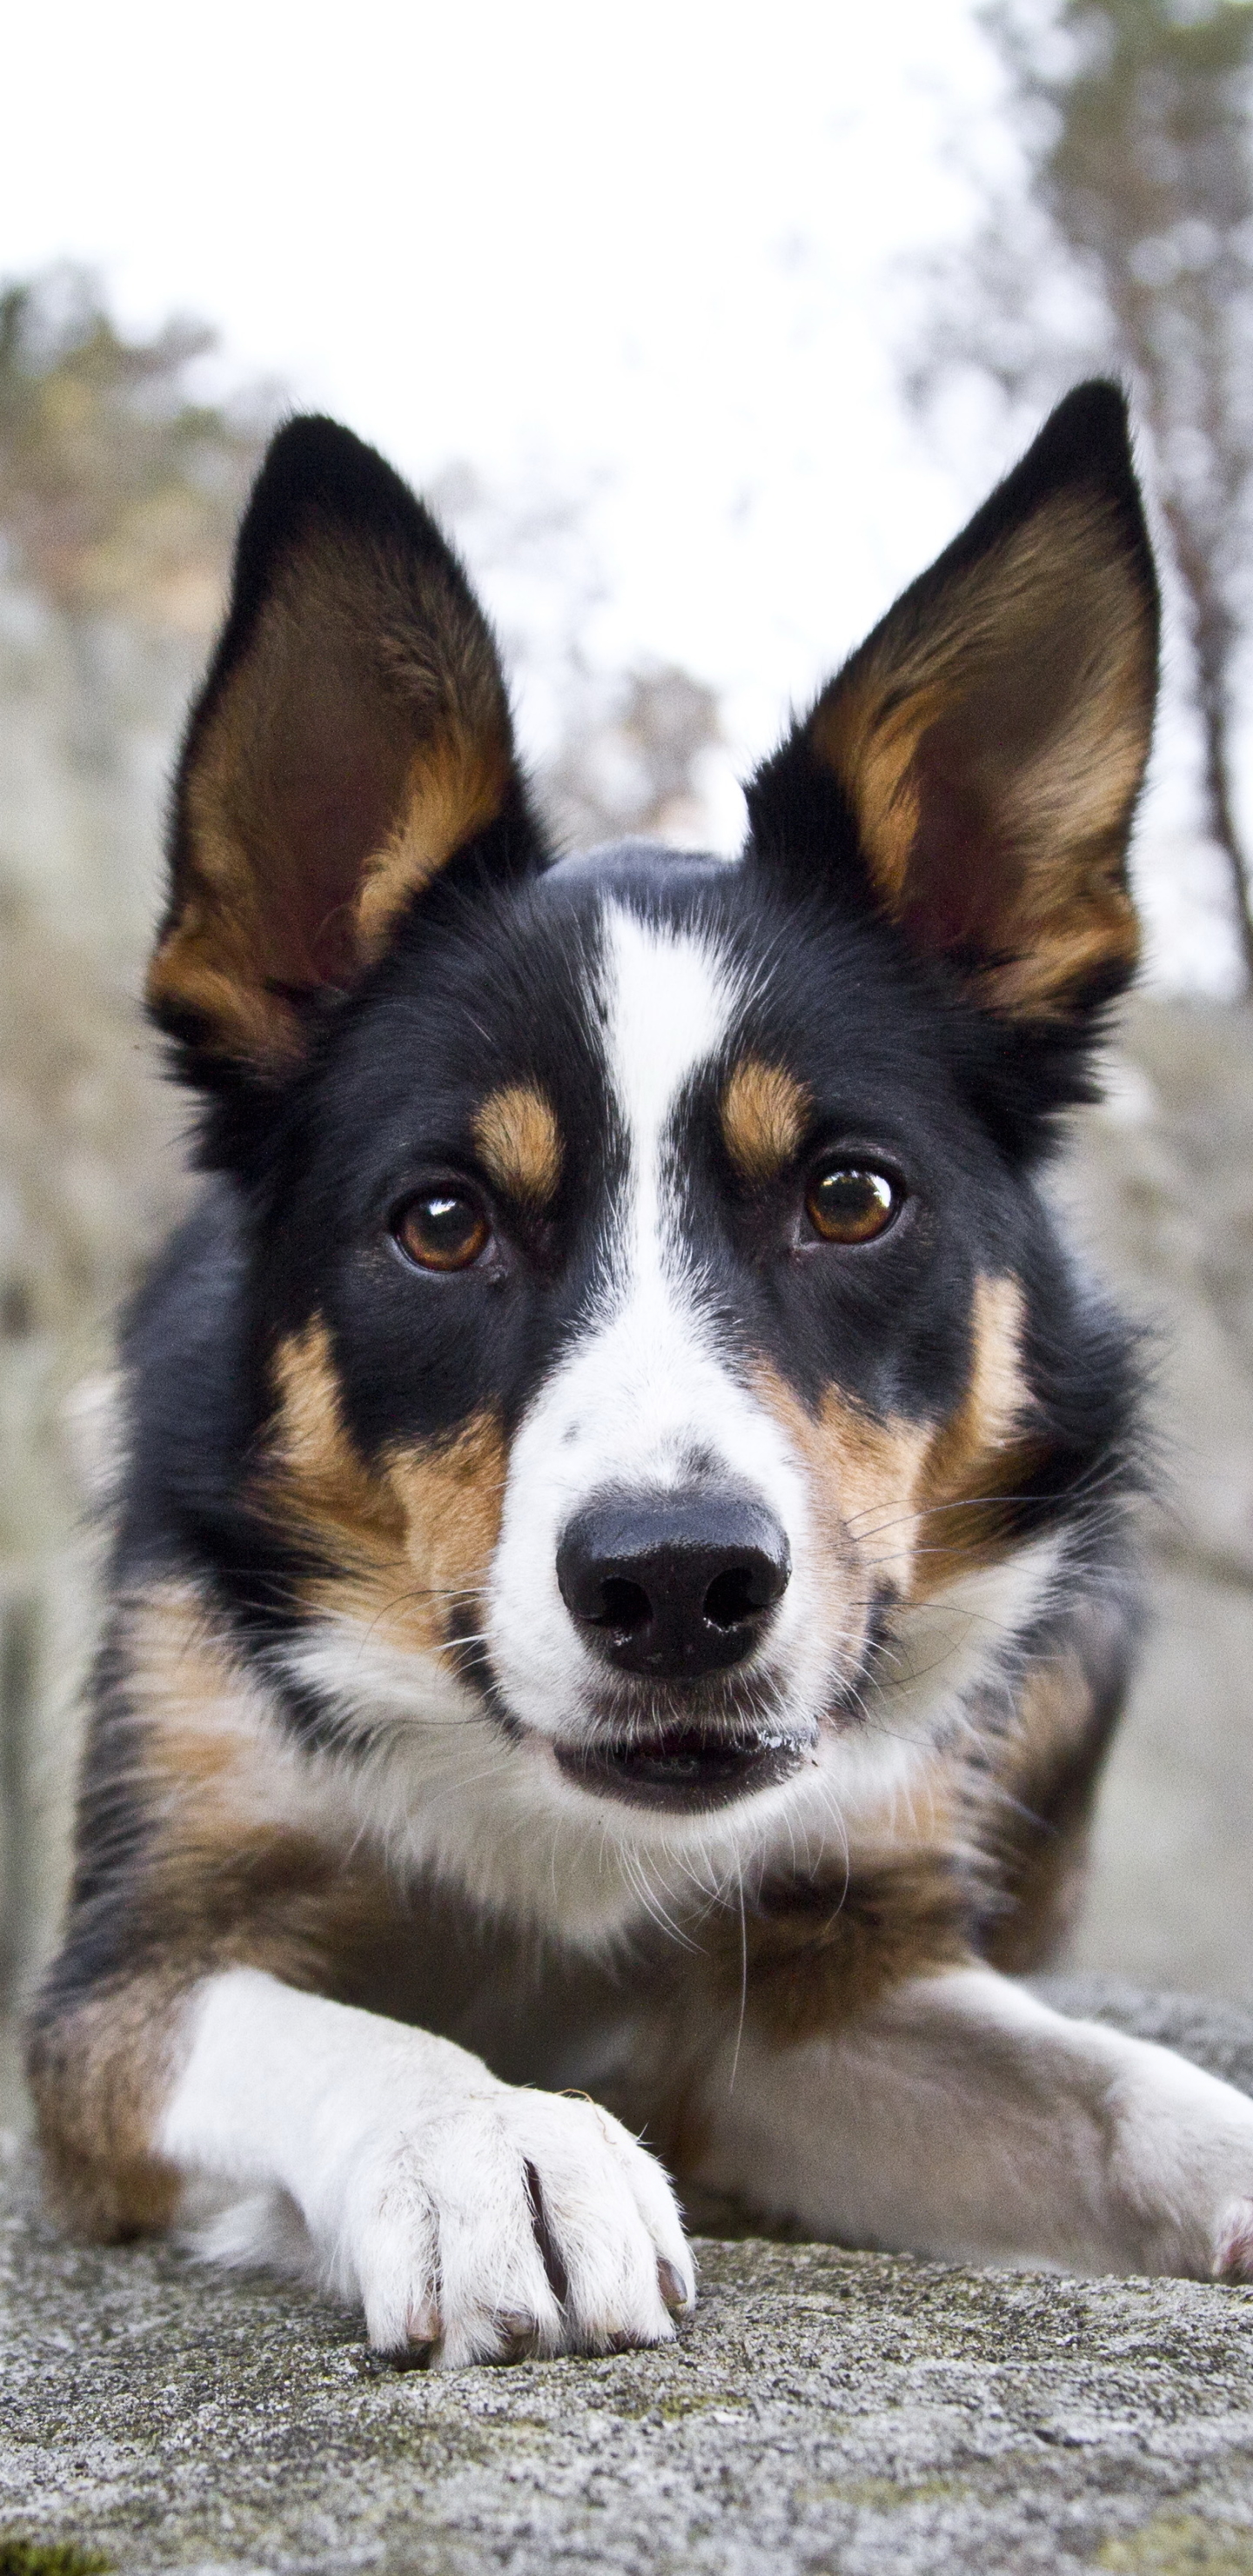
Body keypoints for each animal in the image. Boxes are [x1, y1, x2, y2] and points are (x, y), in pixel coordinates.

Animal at [26, 373, 1253, 2359]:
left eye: (850, 1196)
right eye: (444, 1222)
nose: (678, 1586)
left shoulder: (802, 2002)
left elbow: (1133, 2094)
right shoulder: (122, 1980)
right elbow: (340, 2030)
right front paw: (494, 2138)